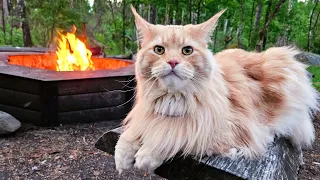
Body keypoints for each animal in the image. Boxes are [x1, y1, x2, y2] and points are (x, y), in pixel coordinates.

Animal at [114, 5, 318, 174]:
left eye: (187, 51)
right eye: (159, 50)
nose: (172, 62)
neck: (172, 100)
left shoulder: (221, 130)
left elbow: (172, 134)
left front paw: (146, 155)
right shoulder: (144, 116)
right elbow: (128, 136)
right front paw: (122, 158)